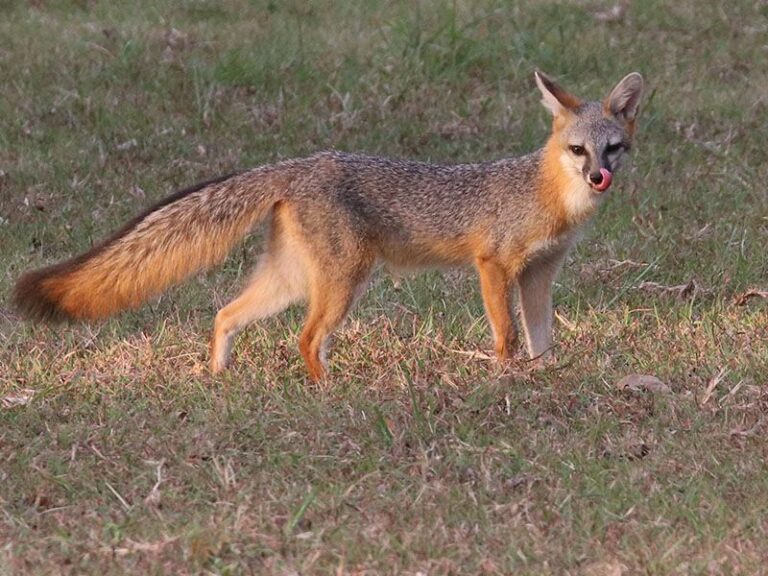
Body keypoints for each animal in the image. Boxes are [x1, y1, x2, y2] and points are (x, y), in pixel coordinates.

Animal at [13, 70, 643, 381]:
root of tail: (298, 163)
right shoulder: (493, 265)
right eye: (577, 149)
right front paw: (508, 377)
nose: (598, 178)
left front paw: (540, 377)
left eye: (612, 148)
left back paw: (217, 376)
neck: (548, 195)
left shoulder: (539, 273)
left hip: (292, 282)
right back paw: (329, 389)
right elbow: (508, 335)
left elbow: (541, 338)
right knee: (305, 339)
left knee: (224, 314)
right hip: (341, 285)